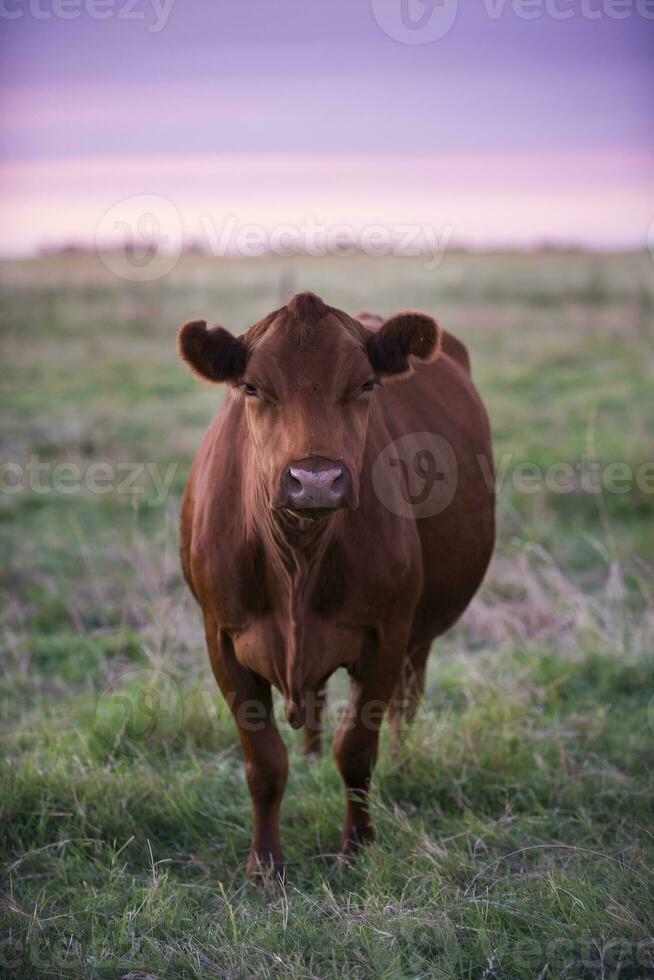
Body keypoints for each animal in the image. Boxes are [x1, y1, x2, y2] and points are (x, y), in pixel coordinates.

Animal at [177, 292, 494, 880]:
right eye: (251, 387)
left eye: (366, 384)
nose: (316, 480)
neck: (298, 560)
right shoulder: (221, 637)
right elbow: (263, 761)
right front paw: (264, 865)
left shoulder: (386, 633)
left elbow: (357, 750)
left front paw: (358, 846)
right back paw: (309, 753)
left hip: (419, 634)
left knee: (407, 701)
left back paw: (406, 765)